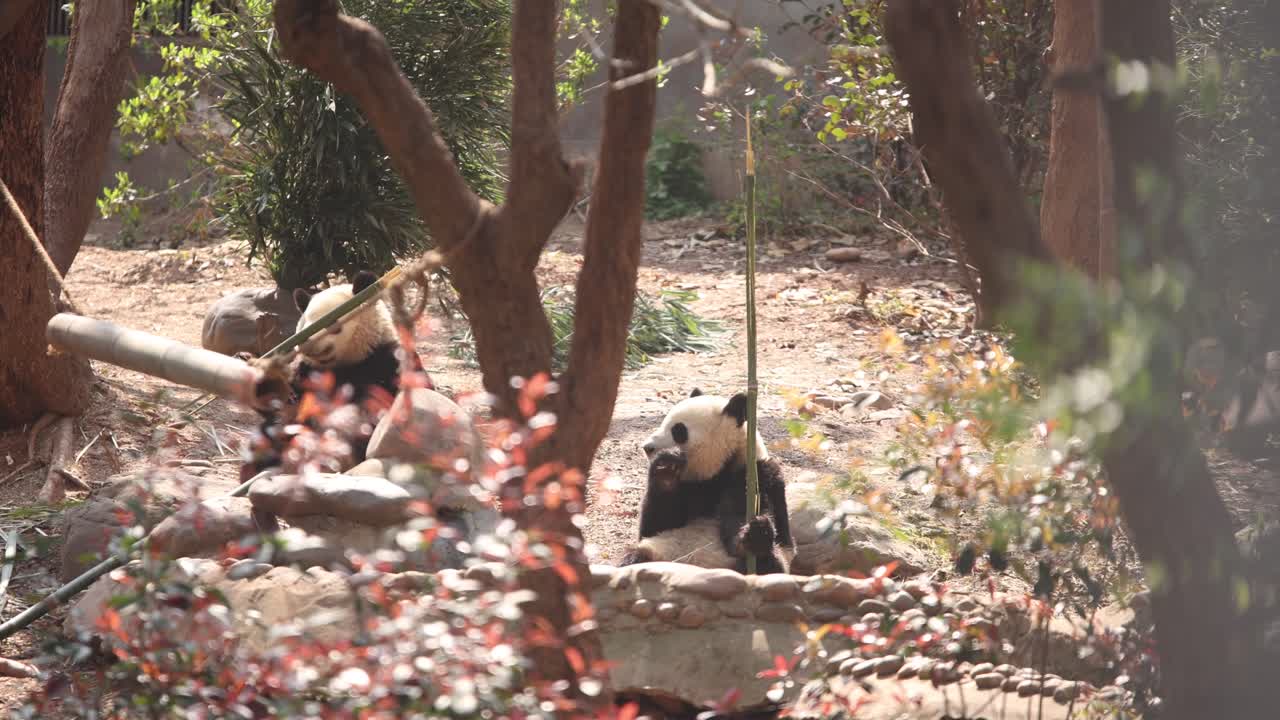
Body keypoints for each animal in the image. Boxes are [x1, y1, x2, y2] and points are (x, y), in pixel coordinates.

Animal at [619, 388, 795, 575]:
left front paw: (755, 533)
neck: (718, 472)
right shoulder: (689, 486)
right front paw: (665, 468)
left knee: (768, 564)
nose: (647, 447)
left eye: (678, 431)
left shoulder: (756, 474)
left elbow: (754, 516)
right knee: (636, 556)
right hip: (659, 551)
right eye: (663, 423)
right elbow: (655, 526)